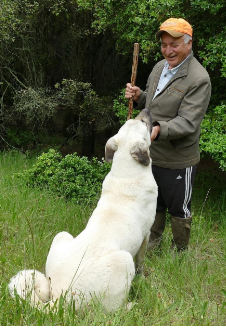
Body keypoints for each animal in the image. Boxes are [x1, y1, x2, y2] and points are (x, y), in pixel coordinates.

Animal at [8, 109, 157, 314]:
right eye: (144, 123)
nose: (147, 110)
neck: (126, 170)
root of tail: (59, 299)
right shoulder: (146, 235)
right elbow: (141, 261)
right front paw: (143, 278)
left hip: (61, 236)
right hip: (124, 260)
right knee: (114, 310)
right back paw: (131, 306)